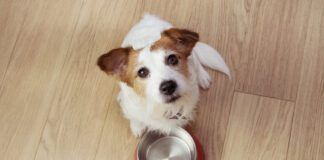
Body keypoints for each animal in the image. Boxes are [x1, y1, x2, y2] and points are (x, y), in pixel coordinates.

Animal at [97, 14, 230, 136]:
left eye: (172, 59)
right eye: (142, 72)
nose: (168, 86)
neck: (162, 108)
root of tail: (148, 17)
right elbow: (134, 117)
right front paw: (137, 127)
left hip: (192, 57)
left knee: (196, 60)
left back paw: (203, 77)